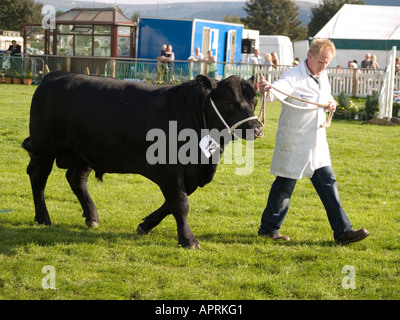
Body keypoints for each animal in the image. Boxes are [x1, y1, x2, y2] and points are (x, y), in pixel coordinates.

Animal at [23, 71, 264, 249]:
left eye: (254, 100)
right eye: (229, 102)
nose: (257, 128)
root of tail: (55, 76)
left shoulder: (192, 174)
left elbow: (172, 203)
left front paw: (146, 225)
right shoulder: (169, 169)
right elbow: (180, 204)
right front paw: (188, 240)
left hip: (85, 151)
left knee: (76, 178)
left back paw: (91, 216)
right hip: (45, 147)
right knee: (38, 177)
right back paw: (43, 218)